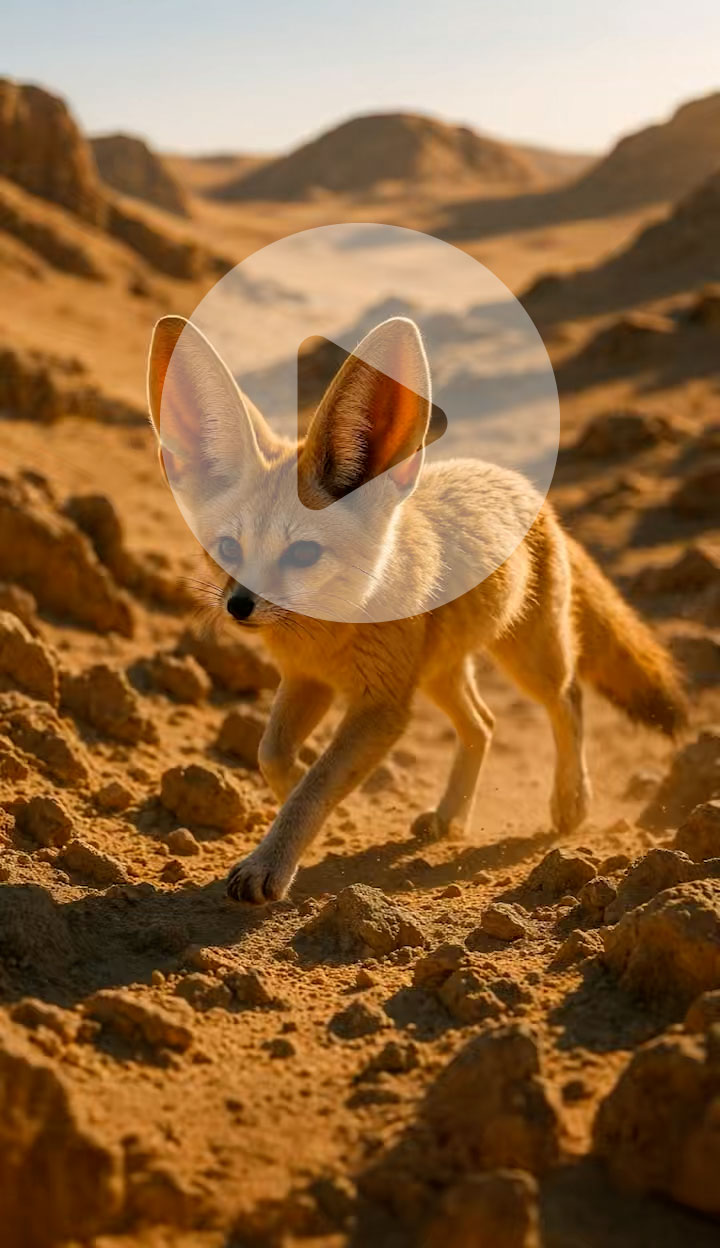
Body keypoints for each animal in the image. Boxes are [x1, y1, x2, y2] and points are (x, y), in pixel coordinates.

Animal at [147, 312, 687, 905]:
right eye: (227, 549)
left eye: (303, 553)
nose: (240, 606)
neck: (329, 633)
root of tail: (525, 487)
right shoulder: (310, 680)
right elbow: (275, 756)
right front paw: (316, 806)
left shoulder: (383, 706)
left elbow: (315, 786)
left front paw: (272, 860)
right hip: (438, 674)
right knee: (484, 723)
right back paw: (450, 817)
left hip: (527, 660)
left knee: (567, 698)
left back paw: (571, 801)